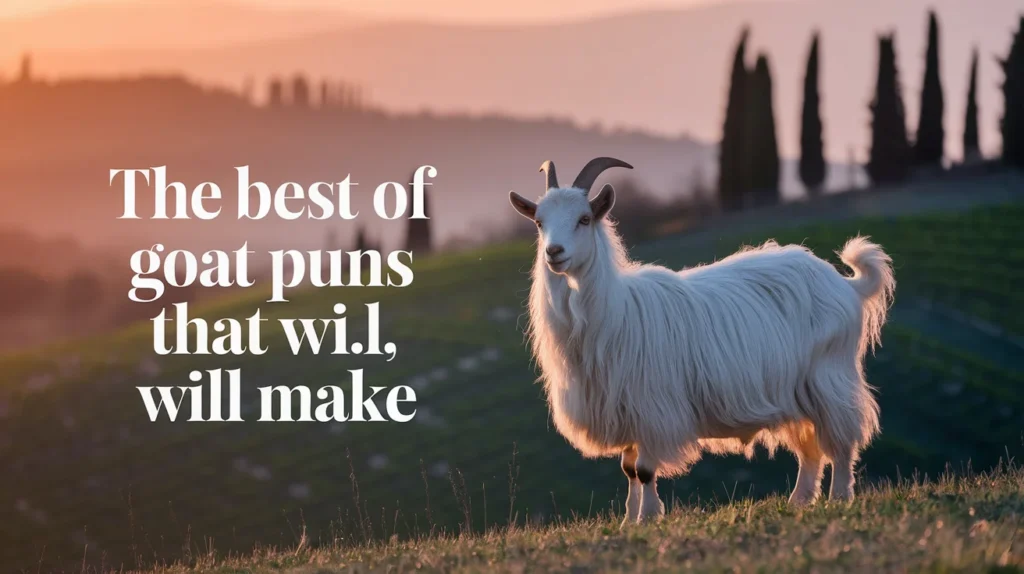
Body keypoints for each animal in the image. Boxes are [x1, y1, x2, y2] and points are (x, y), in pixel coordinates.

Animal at [509, 158, 894, 526]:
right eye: (539, 222)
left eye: (584, 219)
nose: (554, 252)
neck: (615, 311)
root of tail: (845, 284)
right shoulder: (627, 411)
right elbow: (628, 470)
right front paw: (629, 521)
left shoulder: (654, 410)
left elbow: (644, 470)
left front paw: (649, 517)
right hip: (796, 391)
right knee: (810, 449)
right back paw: (799, 501)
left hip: (829, 377)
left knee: (841, 441)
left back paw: (839, 497)